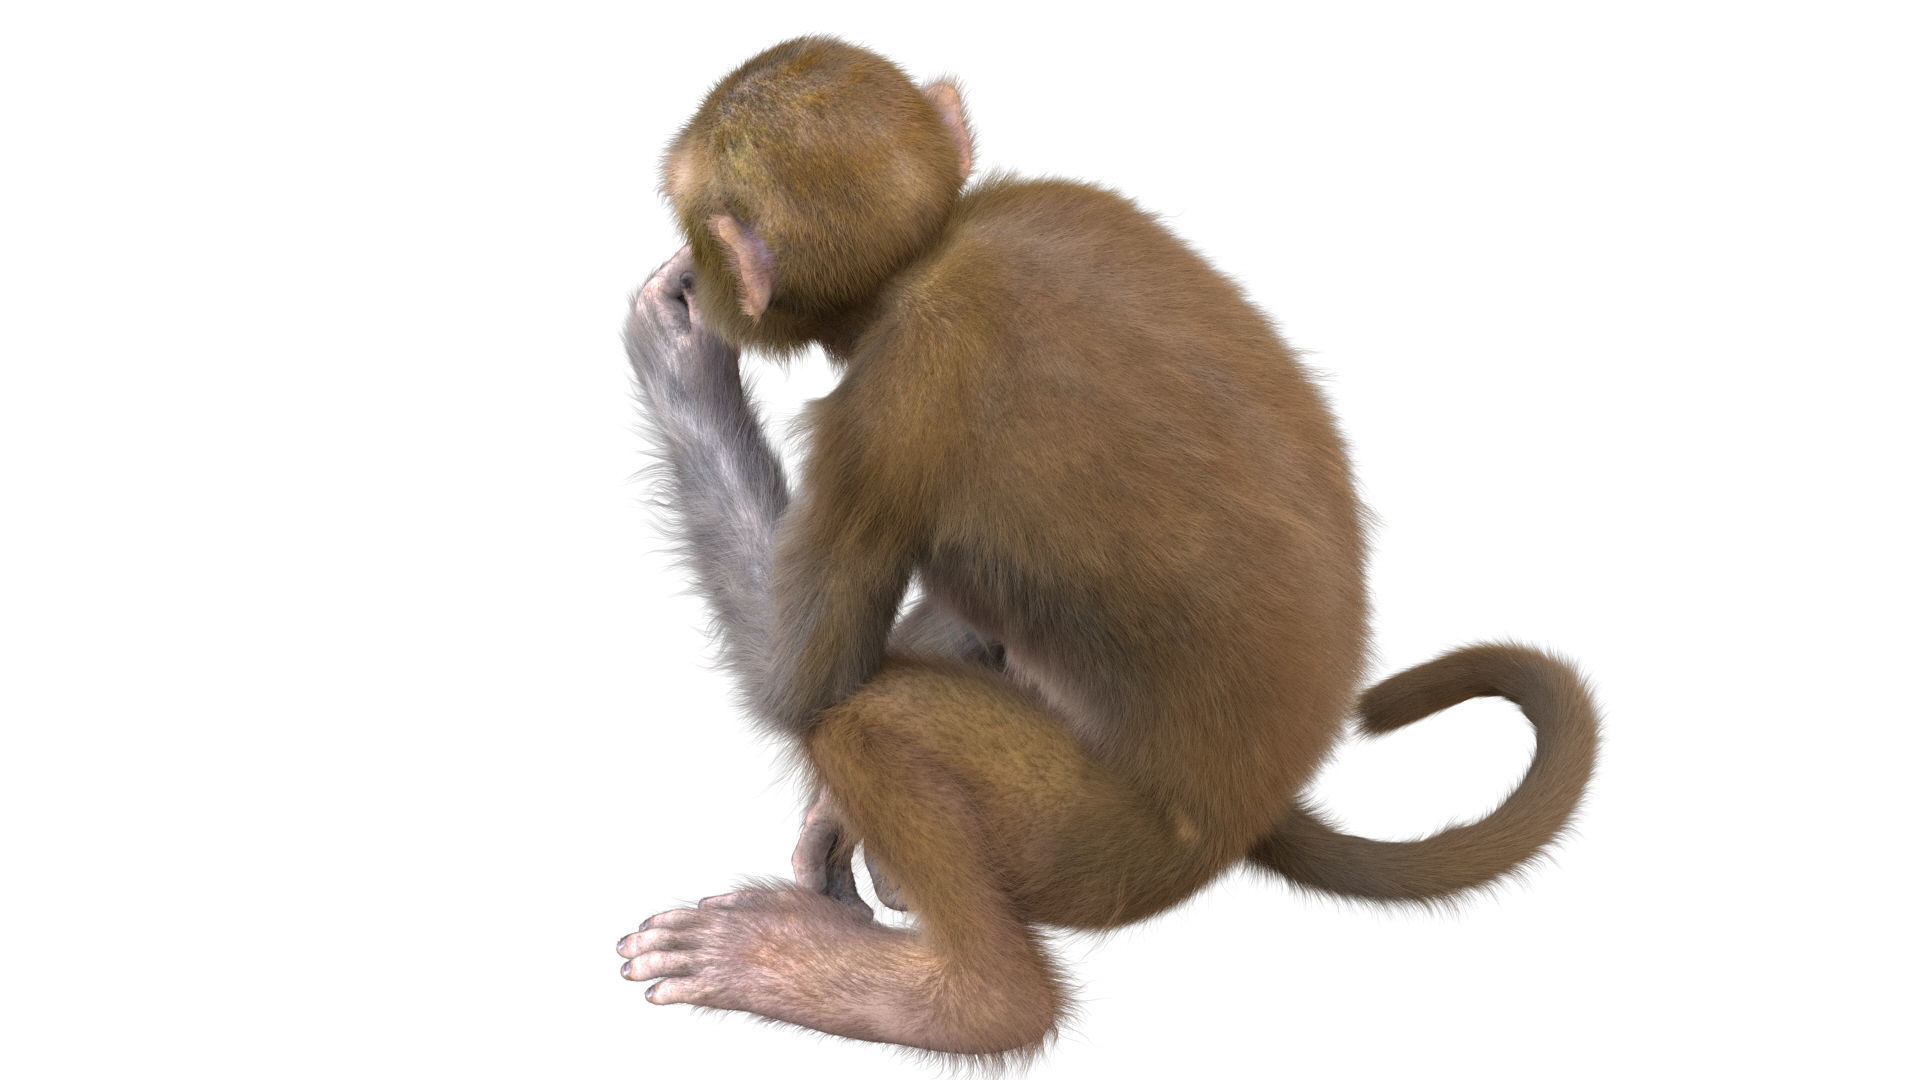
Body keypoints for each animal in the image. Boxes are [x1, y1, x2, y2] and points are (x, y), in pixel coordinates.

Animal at [616, 37, 1598, 1060]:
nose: (698, 281)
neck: (936, 252)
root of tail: (1252, 808)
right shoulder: (1079, 202)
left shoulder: (887, 406)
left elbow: (797, 681)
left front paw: (677, 350)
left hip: (1101, 852)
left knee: (872, 717)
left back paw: (957, 995)